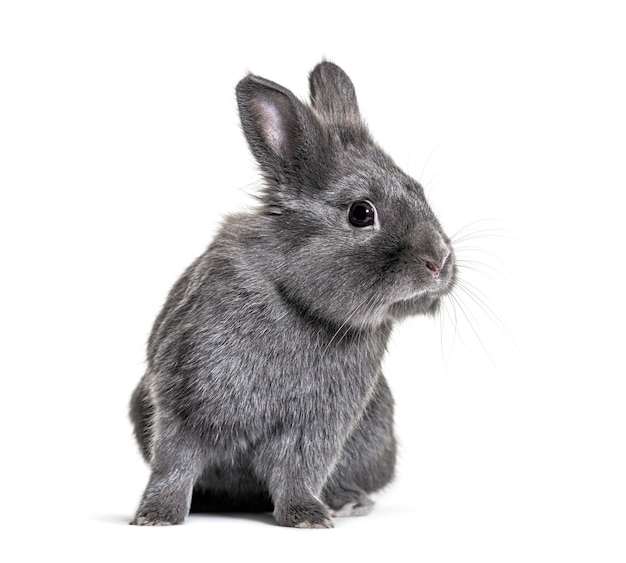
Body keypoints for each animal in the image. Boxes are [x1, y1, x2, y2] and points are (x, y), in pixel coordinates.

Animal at [128, 61, 454, 528]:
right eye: (361, 213)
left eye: (420, 192)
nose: (439, 261)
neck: (297, 302)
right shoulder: (184, 401)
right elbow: (175, 462)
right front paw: (157, 516)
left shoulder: (318, 427)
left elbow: (300, 470)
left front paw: (307, 517)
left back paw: (347, 501)